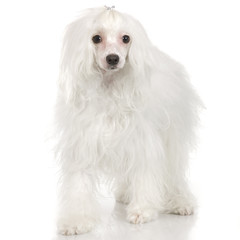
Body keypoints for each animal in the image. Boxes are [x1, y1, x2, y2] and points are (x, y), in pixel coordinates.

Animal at [55, 6, 202, 235]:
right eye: (96, 38)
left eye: (126, 38)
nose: (113, 58)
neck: (110, 87)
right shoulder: (83, 143)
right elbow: (79, 184)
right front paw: (76, 220)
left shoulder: (144, 142)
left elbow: (145, 175)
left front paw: (143, 210)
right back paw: (126, 194)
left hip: (172, 140)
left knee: (173, 174)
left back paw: (179, 201)